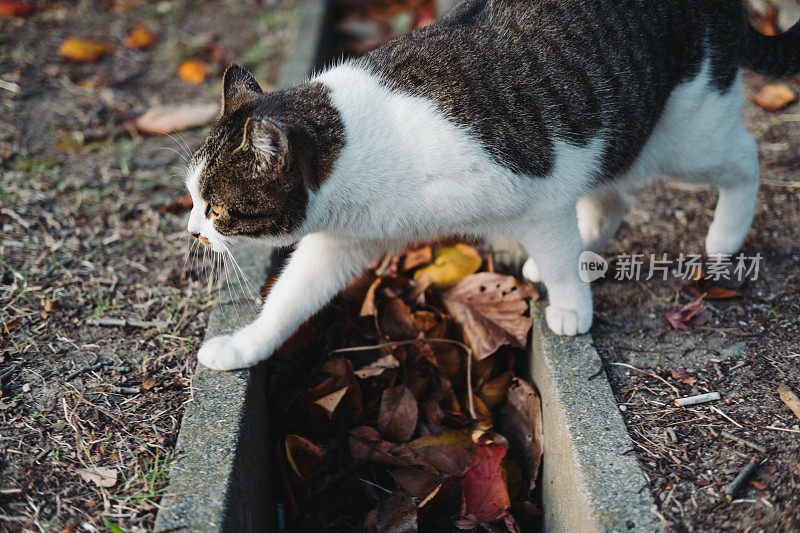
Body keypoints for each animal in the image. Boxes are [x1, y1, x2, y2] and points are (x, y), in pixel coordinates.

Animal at [186, 0, 800, 368]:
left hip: (688, 133)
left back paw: (724, 237)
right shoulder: (343, 241)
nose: (191, 230)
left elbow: (558, 252)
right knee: (612, 196)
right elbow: (289, 299)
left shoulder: (542, 195)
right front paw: (244, 346)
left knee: (744, 160)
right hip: (617, 136)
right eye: (191, 198)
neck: (359, 145)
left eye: (215, 207)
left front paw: (571, 308)